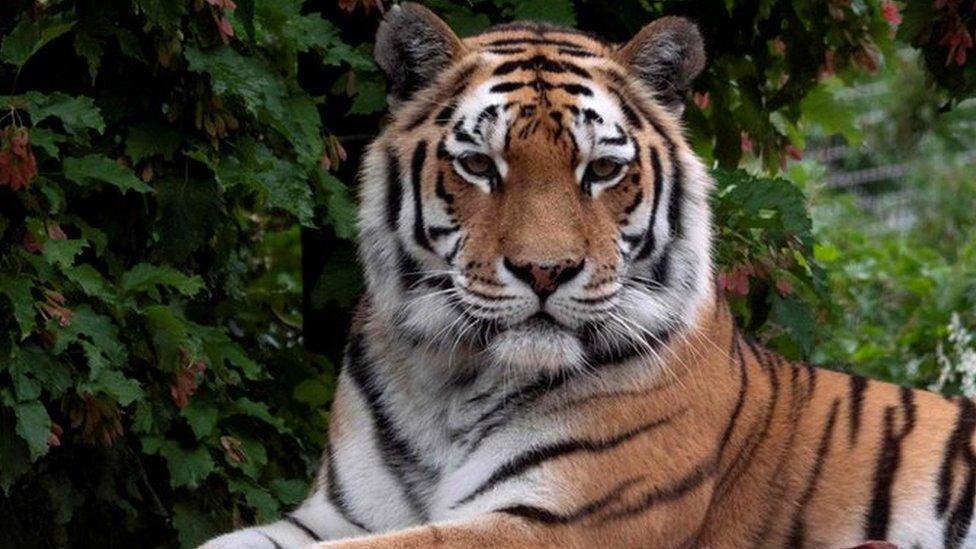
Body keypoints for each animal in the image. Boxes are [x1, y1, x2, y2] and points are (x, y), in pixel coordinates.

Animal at [202, 4, 976, 548]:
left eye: (601, 169)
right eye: (479, 165)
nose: (546, 271)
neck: (450, 384)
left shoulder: (560, 520)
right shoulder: (336, 513)